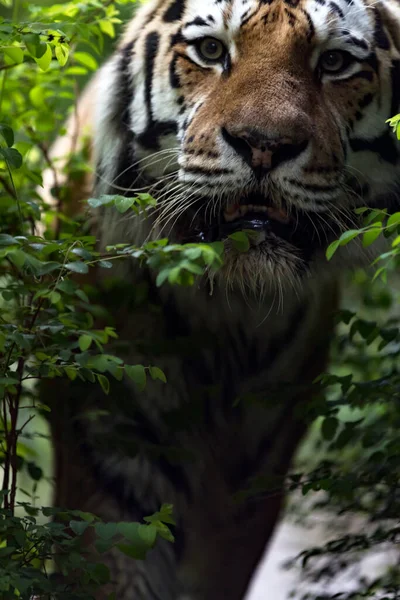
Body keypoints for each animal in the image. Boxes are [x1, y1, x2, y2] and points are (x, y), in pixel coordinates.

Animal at [44, 0, 400, 596]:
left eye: (333, 63)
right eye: (211, 50)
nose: (263, 144)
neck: (228, 308)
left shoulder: (252, 484)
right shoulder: (111, 451)